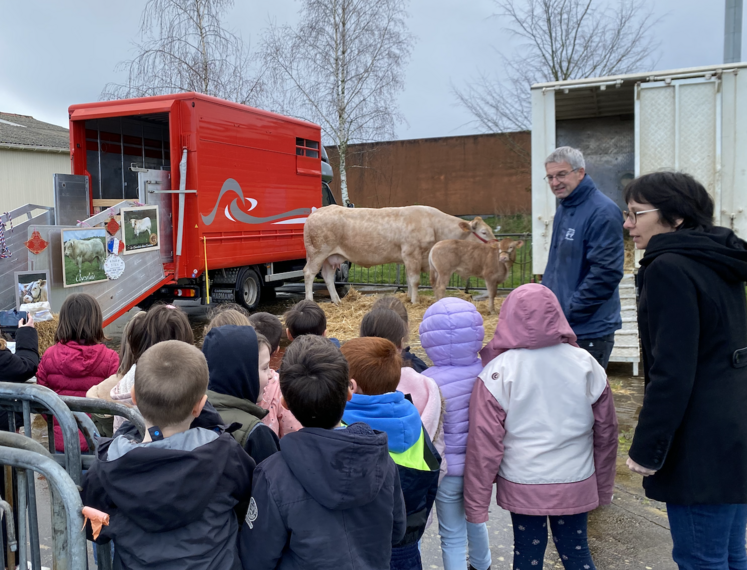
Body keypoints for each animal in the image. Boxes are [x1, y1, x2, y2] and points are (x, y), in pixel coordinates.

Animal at [304, 203, 496, 302]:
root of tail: (316, 212)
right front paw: (415, 301)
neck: (433, 225)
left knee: (328, 276)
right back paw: (310, 300)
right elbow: (415, 280)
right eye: (484, 232)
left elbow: (409, 280)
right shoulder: (412, 253)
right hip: (318, 252)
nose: (496, 246)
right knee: (309, 273)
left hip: (330, 257)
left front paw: (409, 298)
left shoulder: (410, 258)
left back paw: (337, 301)